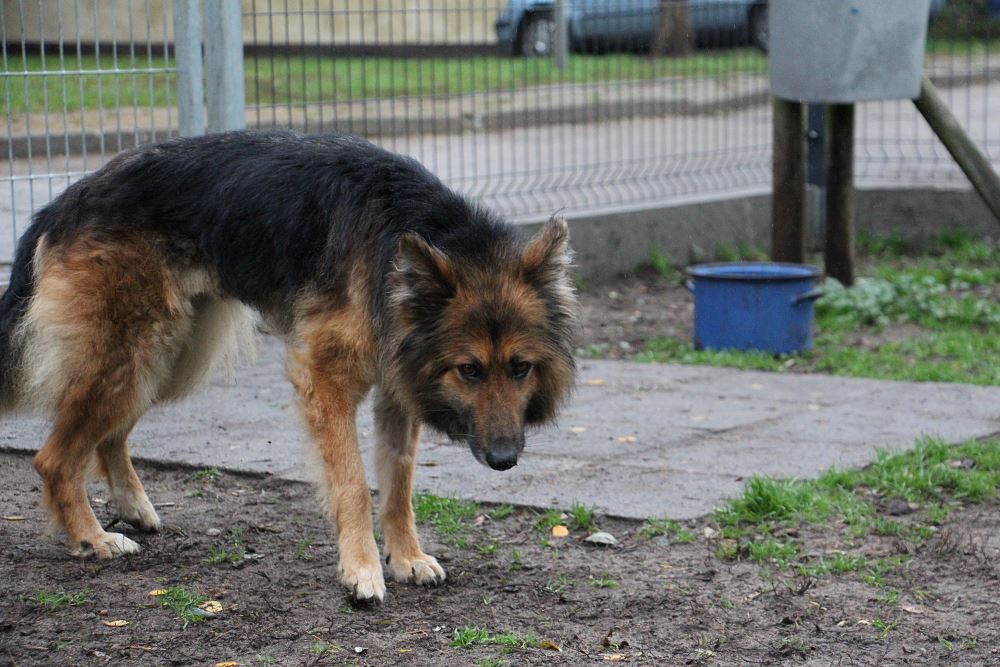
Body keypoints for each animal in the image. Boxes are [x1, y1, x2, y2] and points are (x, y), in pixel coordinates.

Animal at [0, 130, 577, 602]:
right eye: (470, 370)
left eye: (520, 368)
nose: (505, 460)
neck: (397, 243)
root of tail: (65, 199)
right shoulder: (325, 381)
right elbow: (353, 484)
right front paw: (362, 570)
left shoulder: (399, 384)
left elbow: (399, 484)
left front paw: (407, 557)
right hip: (132, 352)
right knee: (54, 458)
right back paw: (91, 538)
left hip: (168, 356)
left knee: (109, 435)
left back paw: (134, 509)